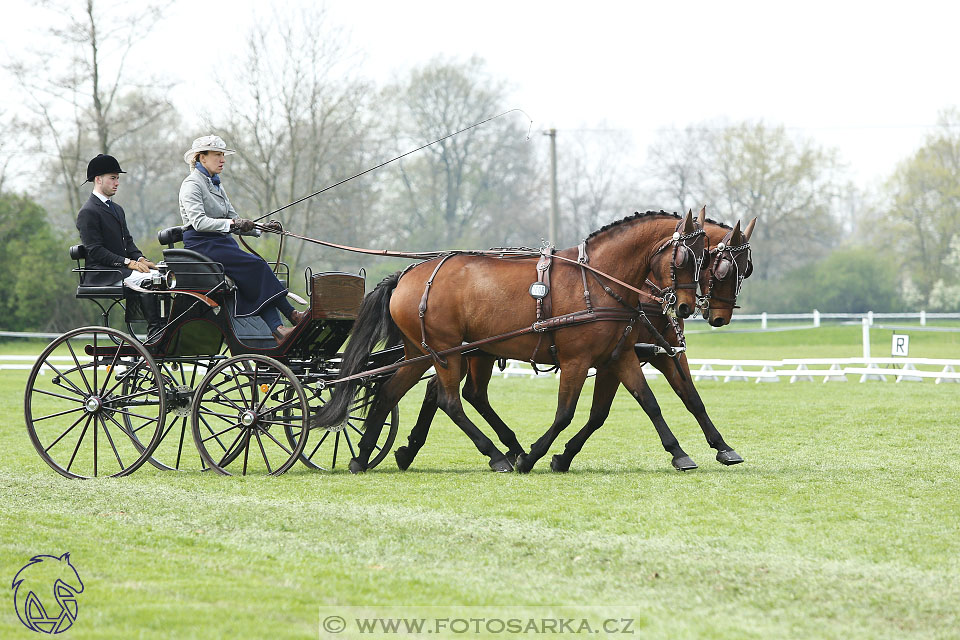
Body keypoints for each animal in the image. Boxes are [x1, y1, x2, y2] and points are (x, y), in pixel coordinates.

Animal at [316, 210, 704, 470]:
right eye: (685, 257)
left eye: (704, 257)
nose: (686, 306)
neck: (598, 281)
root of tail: (407, 274)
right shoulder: (576, 360)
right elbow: (565, 413)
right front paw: (533, 457)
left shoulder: (619, 356)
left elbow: (649, 403)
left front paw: (680, 452)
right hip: (445, 353)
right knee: (450, 401)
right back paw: (496, 455)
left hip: (426, 353)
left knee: (391, 392)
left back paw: (363, 457)